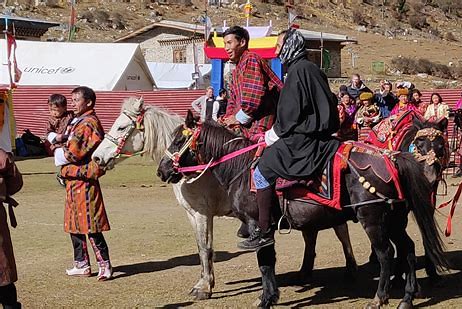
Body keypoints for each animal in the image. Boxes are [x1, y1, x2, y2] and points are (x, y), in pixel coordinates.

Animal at [91, 97, 358, 298]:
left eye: (121, 127)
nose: (96, 157)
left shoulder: (202, 214)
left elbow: (205, 248)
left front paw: (204, 286)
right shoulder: (193, 215)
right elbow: (202, 248)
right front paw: (205, 281)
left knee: (342, 231)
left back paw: (351, 268)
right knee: (311, 235)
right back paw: (305, 271)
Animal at [157, 110, 450, 308]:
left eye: (177, 142)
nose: (162, 170)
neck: (240, 168)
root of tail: (394, 159)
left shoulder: (256, 225)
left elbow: (264, 263)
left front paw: (265, 299)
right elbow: (267, 263)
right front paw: (270, 296)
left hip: (373, 220)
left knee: (386, 254)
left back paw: (379, 298)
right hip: (395, 220)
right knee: (408, 248)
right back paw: (408, 297)